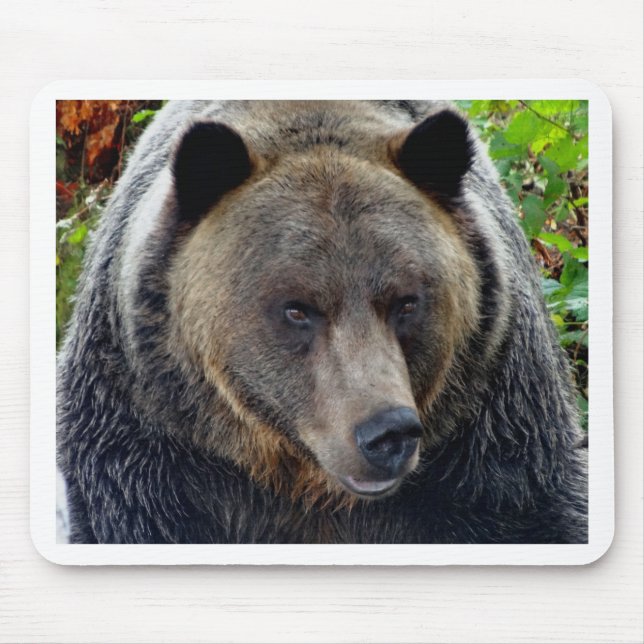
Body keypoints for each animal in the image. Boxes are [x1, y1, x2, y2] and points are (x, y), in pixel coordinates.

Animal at [57, 99, 588, 544]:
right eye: (297, 308)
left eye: (407, 302)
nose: (387, 433)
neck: (303, 483)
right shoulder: (146, 447)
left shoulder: (492, 433)